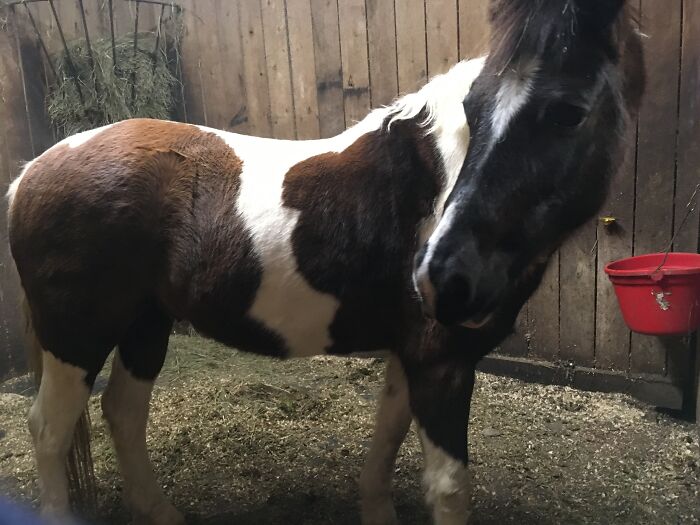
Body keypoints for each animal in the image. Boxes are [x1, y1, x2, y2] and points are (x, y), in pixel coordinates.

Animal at [7, 0, 644, 523]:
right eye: (475, 106)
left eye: (567, 112)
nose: (441, 278)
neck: (436, 185)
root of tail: (32, 171)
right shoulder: (441, 360)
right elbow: (448, 489)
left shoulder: (408, 353)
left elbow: (385, 446)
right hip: (76, 336)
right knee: (50, 430)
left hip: (145, 323)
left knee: (122, 412)